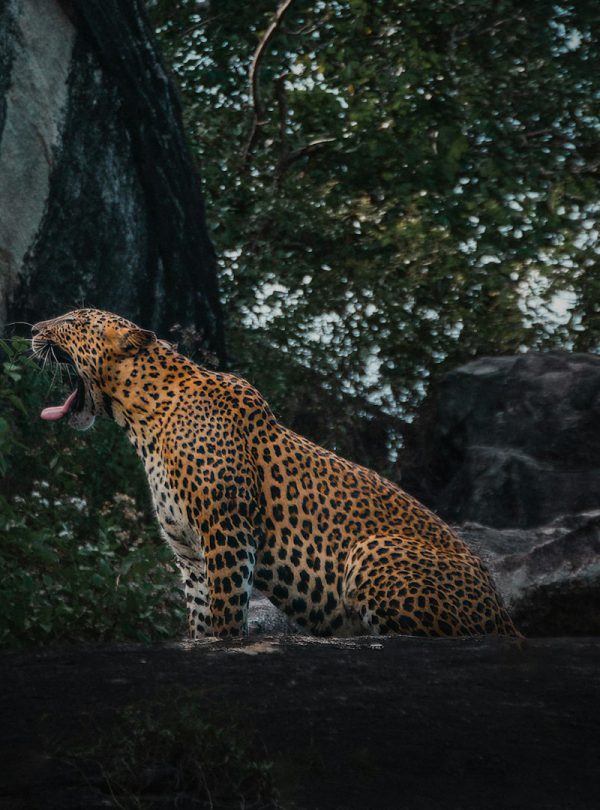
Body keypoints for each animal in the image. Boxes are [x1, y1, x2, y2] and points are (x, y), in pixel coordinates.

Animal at [32, 309, 519, 639]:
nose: (33, 330)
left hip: (371, 551)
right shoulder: (189, 553)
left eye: (72, 321)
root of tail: (504, 615)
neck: (143, 420)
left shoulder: (226, 530)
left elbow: (227, 612)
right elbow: (200, 617)